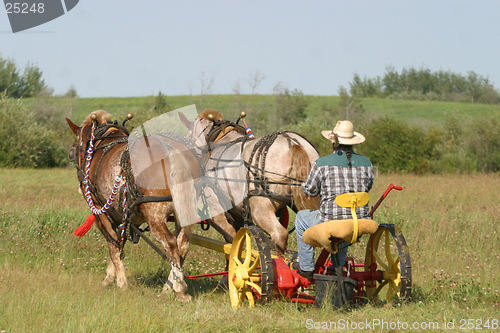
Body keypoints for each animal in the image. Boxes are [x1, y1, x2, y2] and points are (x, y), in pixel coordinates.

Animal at [66, 111, 197, 300]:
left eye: (77, 145)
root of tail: (172, 150)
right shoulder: (125, 215)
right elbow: (121, 244)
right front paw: (111, 276)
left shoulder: (101, 211)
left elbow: (113, 246)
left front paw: (119, 282)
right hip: (183, 214)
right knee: (182, 245)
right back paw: (169, 286)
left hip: (155, 216)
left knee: (171, 244)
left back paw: (179, 289)